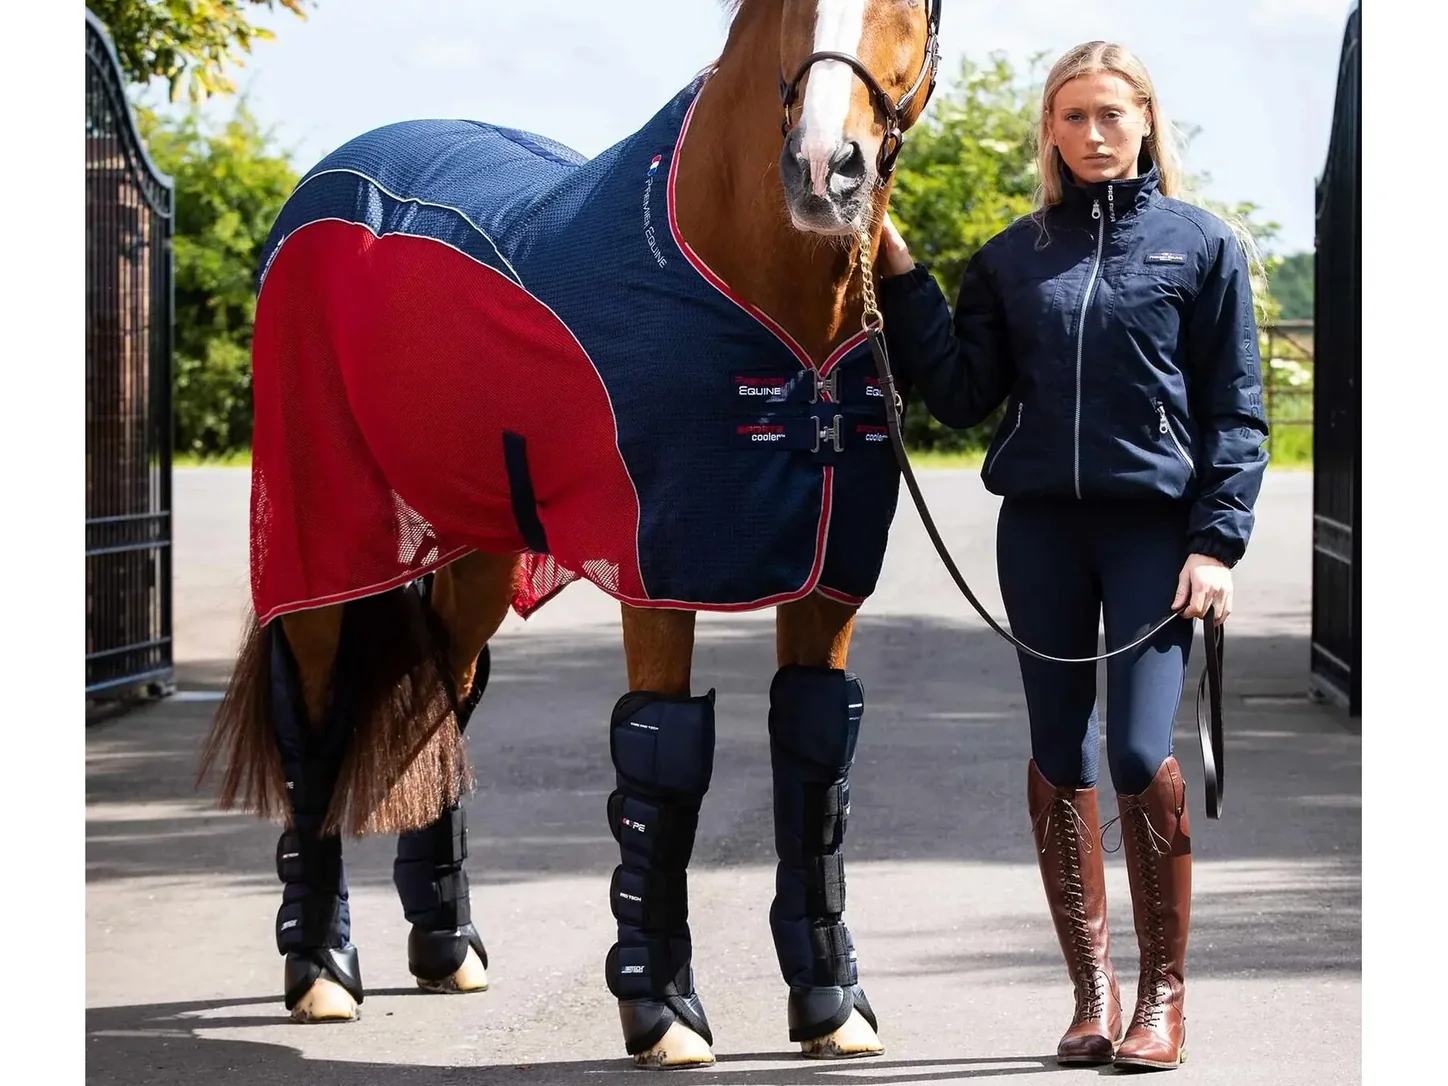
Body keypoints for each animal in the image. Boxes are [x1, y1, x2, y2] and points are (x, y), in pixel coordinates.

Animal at [199, 0, 942, 1067]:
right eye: (790, 12)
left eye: (914, 10)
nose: (822, 169)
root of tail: (330, 182)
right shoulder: (661, 571)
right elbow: (663, 771)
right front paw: (662, 1011)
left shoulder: (827, 578)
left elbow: (813, 764)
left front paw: (833, 1002)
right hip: (323, 533)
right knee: (318, 718)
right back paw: (319, 968)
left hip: (477, 553)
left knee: (441, 698)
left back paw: (445, 946)